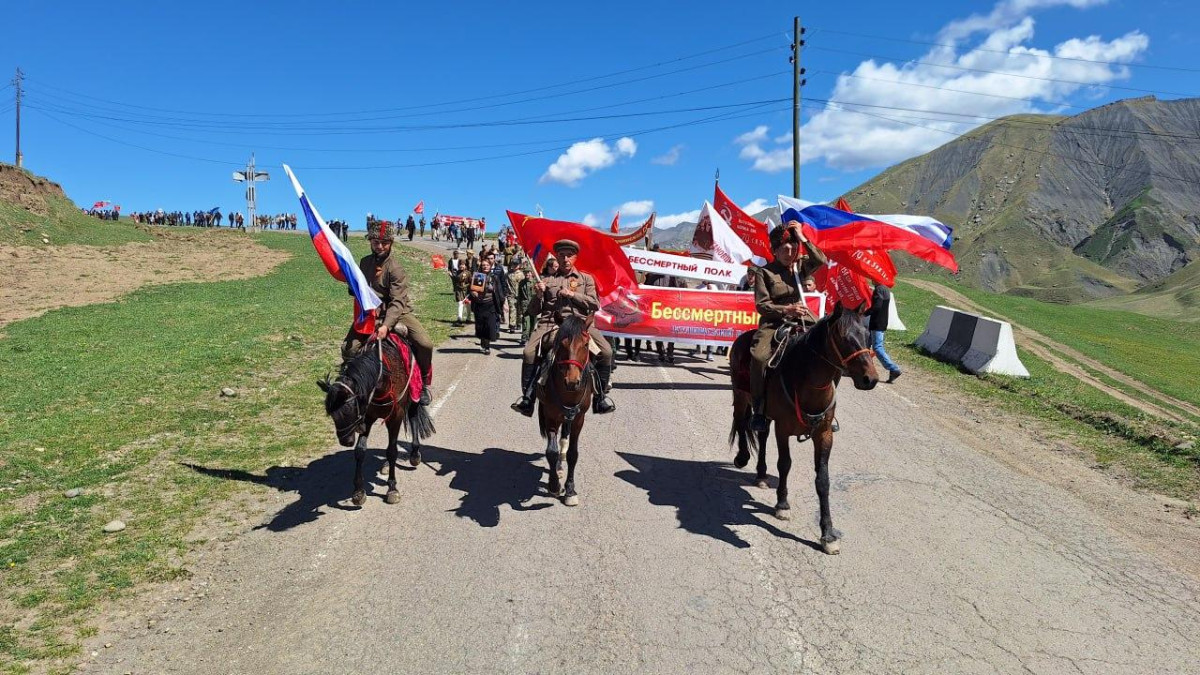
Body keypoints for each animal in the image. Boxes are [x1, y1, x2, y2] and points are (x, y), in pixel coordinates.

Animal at [318, 337, 435, 506]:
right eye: (332, 414)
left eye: (348, 410)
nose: (345, 441)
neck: (382, 380)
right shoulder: (367, 418)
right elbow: (360, 451)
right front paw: (359, 492)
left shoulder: (395, 418)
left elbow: (392, 451)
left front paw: (392, 489)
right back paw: (386, 465)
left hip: (414, 396)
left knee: (413, 418)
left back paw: (414, 454)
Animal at [536, 314, 594, 507]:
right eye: (562, 344)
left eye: (586, 344)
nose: (572, 381)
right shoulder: (550, 417)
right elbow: (551, 452)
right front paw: (554, 485)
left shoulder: (578, 419)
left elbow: (572, 454)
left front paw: (570, 490)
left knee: (564, 440)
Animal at [729, 303, 879, 554]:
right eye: (843, 338)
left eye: (868, 336)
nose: (871, 379)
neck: (805, 381)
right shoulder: (783, 429)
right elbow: (785, 464)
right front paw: (782, 504)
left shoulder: (824, 435)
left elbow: (823, 480)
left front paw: (828, 534)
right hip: (741, 396)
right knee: (741, 423)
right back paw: (742, 457)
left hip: (764, 414)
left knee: (761, 432)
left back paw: (761, 475)